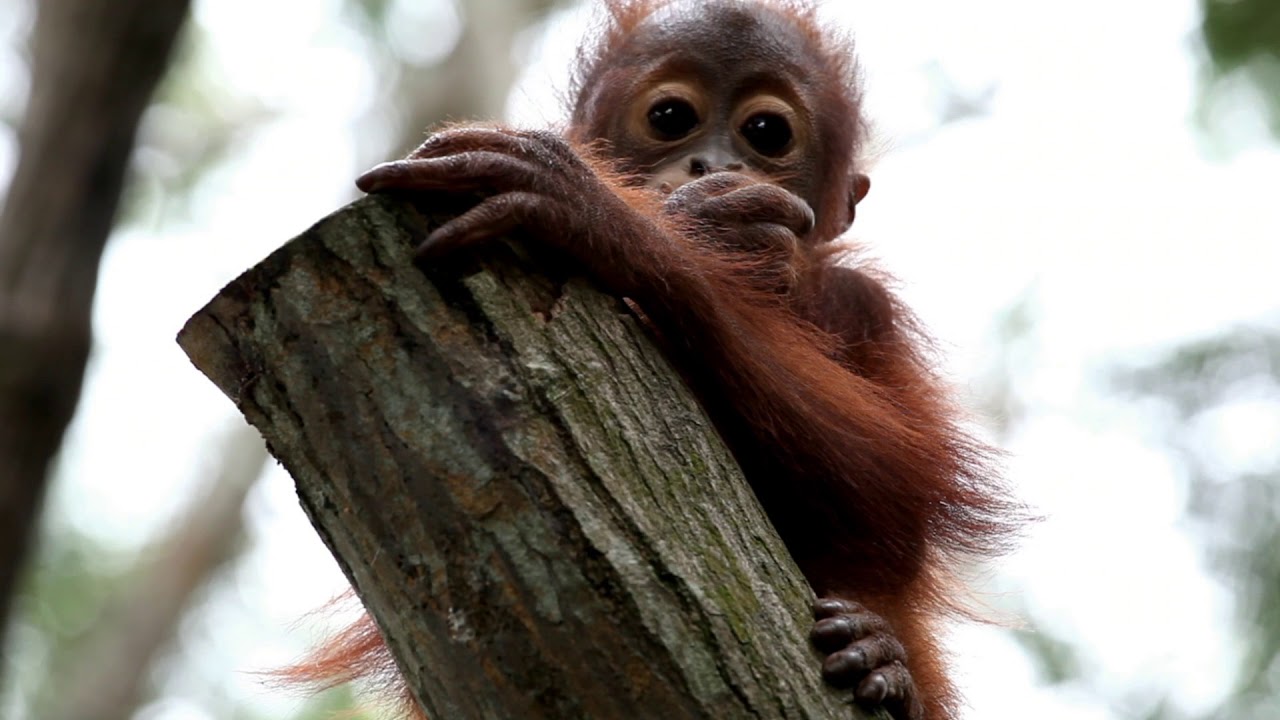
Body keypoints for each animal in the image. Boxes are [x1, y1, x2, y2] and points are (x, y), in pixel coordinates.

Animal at [284, 2, 1020, 719]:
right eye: (670, 118)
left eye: (766, 133)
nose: (713, 165)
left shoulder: (863, 306)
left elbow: (893, 500)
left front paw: (615, 219)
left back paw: (882, 663)